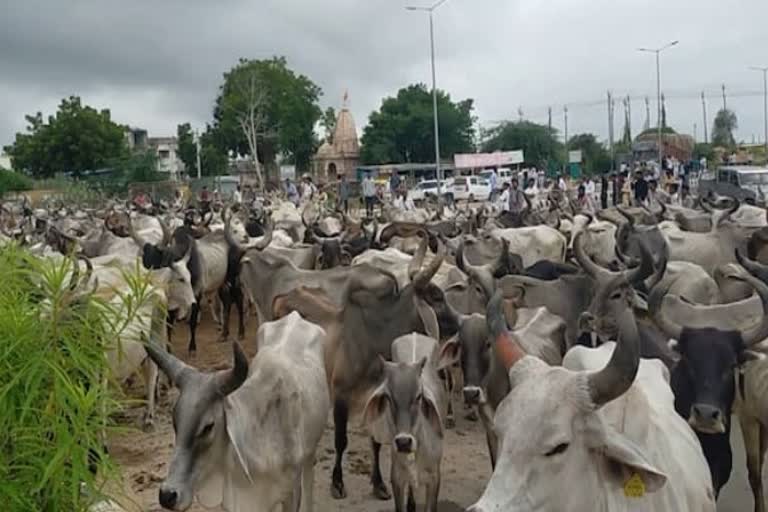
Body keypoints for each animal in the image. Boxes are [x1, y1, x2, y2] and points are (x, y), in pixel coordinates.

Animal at [146, 310, 328, 510]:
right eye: (175, 421)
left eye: (208, 427)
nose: (167, 495)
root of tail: (295, 315)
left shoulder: (291, 493)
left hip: (310, 452)